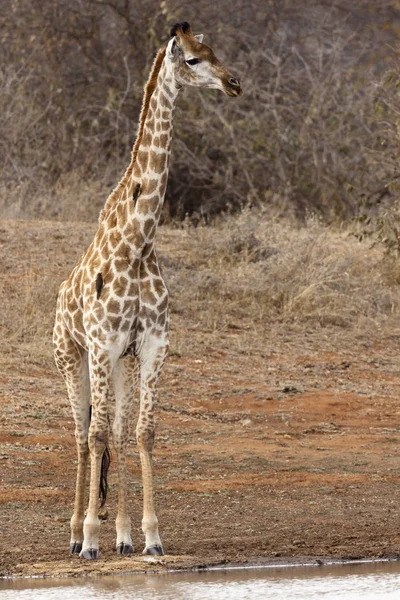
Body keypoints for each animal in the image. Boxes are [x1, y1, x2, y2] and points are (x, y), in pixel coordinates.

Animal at [52, 19, 241, 564]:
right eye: (193, 59)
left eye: (215, 51)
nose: (234, 83)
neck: (138, 242)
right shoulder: (101, 344)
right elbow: (96, 435)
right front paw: (90, 538)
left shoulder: (151, 345)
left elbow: (143, 431)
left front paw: (150, 536)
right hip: (72, 356)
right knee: (82, 435)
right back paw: (77, 534)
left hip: (120, 362)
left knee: (114, 431)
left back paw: (120, 534)